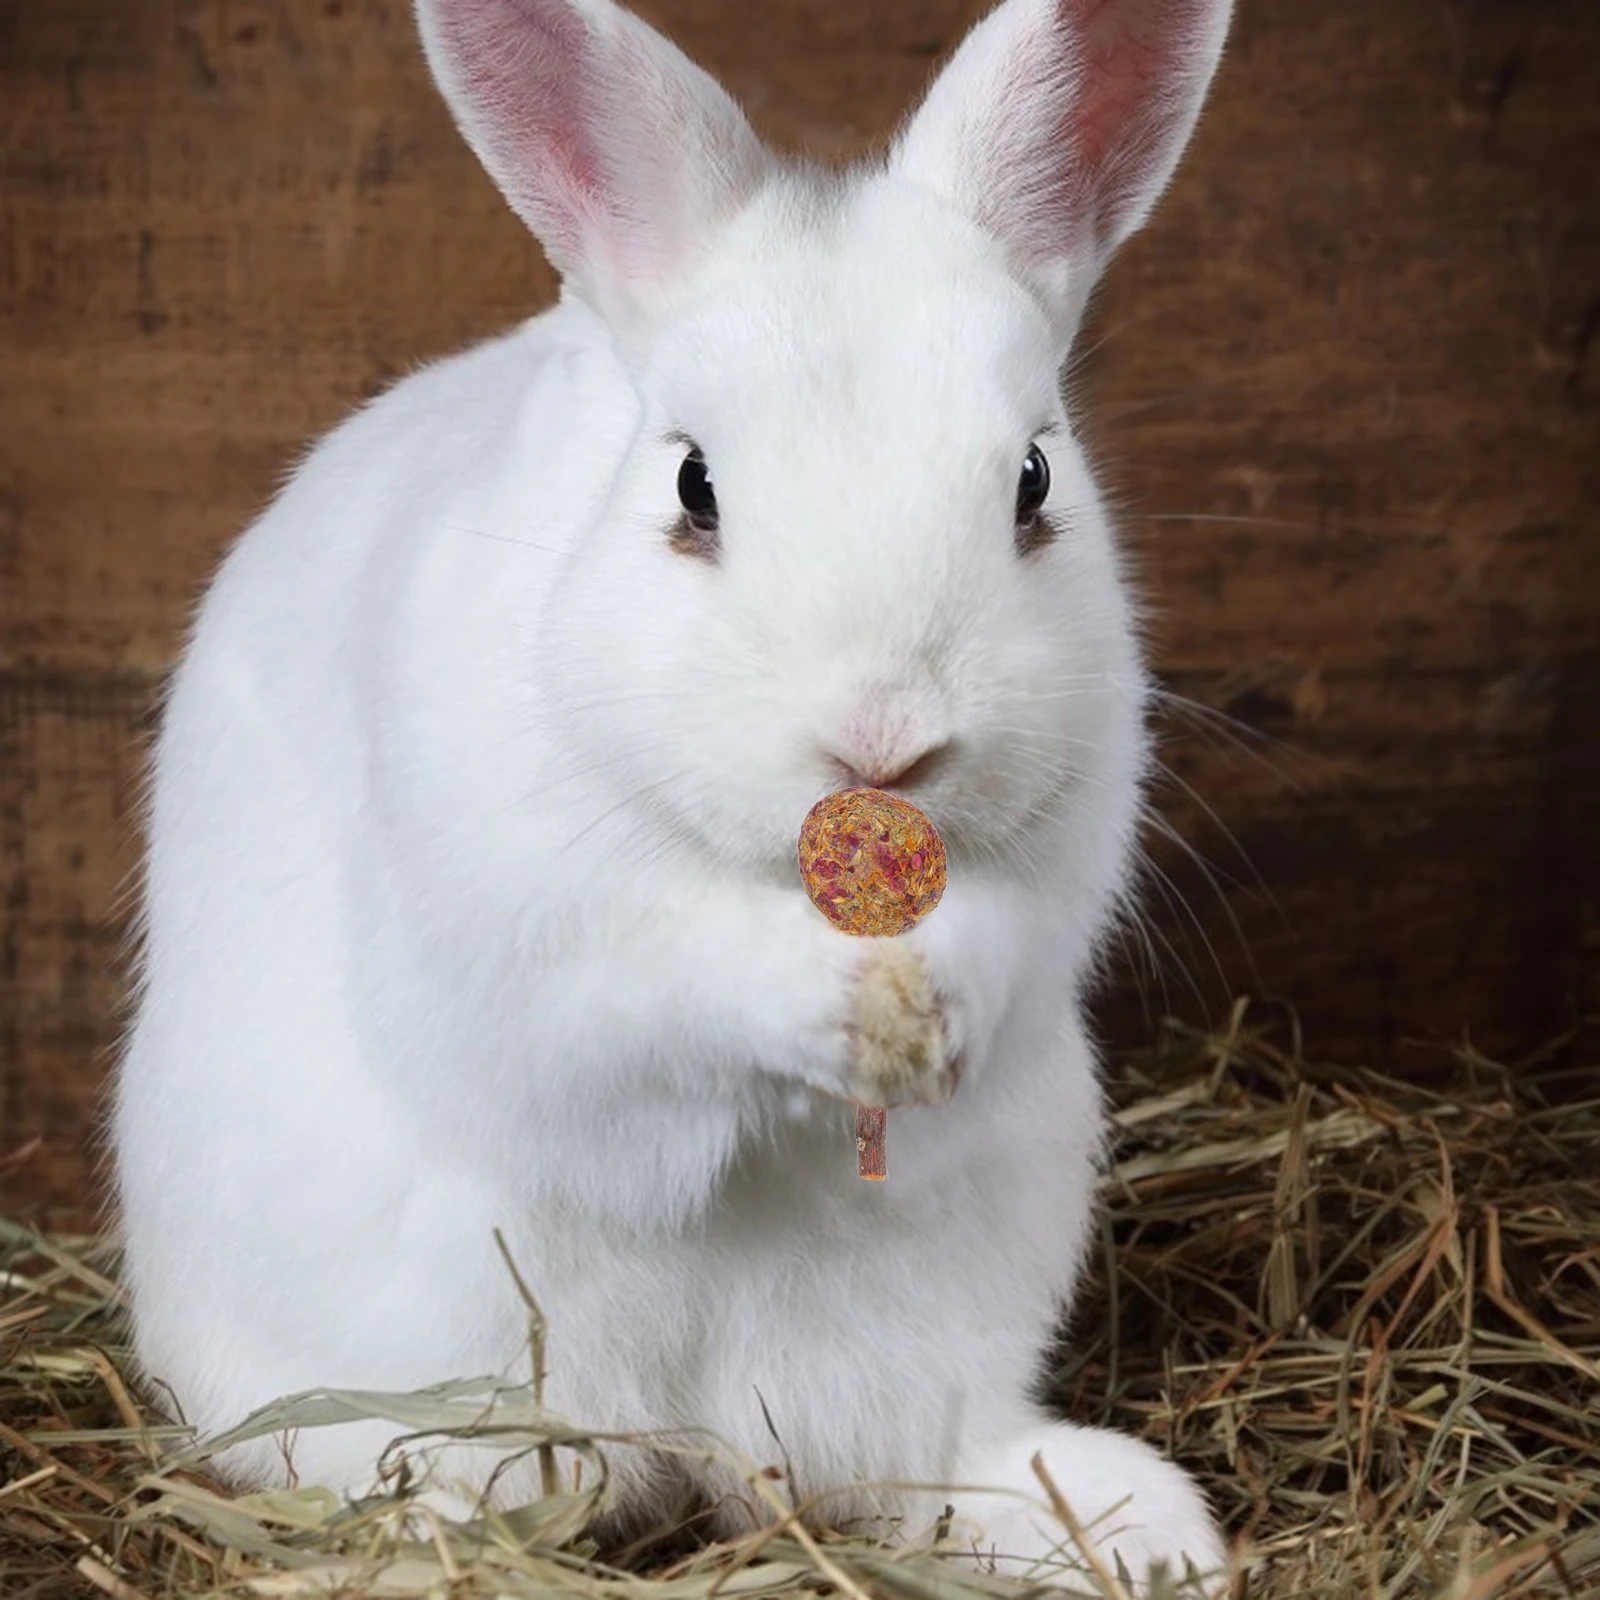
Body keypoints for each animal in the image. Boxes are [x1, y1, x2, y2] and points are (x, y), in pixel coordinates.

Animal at [111, 0, 1237, 1589]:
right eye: (694, 486)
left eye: (1031, 481)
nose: (882, 734)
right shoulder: (536, 957)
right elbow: (659, 995)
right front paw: (829, 1004)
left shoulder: (1057, 869)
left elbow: (1007, 945)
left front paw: (931, 1005)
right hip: (406, 1359)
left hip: (950, 1301)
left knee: (907, 1463)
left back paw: (1129, 1526)